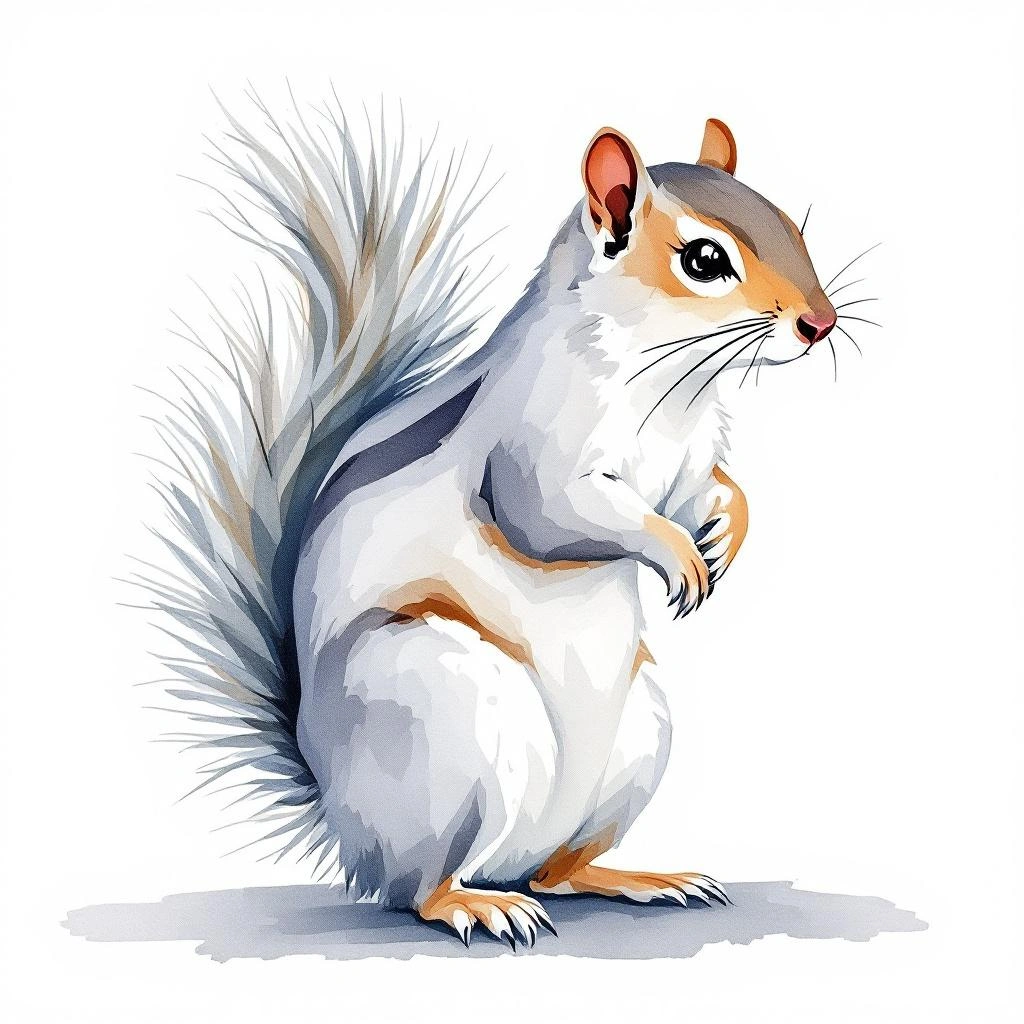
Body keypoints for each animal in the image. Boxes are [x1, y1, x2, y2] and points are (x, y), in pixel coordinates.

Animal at [147, 101, 840, 949]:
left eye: (792, 225)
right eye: (705, 260)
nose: (821, 322)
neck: (671, 381)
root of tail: (343, 823)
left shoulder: (686, 463)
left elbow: (714, 491)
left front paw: (725, 535)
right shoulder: (532, 446)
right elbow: (547, 515)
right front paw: (676, 555)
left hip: (637, 738)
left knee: (558, 870)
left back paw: (635, 878)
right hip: (438, 713)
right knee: (418, 888)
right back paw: (473, 904)